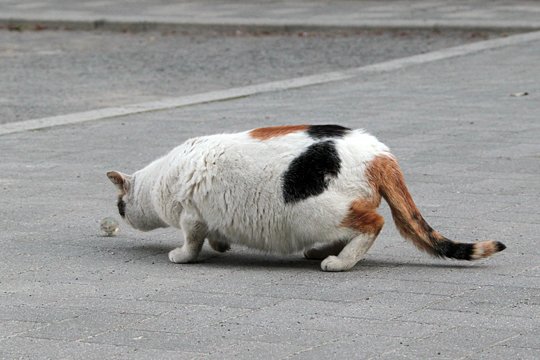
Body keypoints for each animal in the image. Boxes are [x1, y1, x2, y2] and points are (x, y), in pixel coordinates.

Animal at [106, 124, 506, 270]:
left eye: (119, 205)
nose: (120, 213)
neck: (161, 178)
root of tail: (380, 154)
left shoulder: (191, 216)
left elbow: (191, 242)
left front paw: (183, 256)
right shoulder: (208, 218)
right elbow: (215, 235)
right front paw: (221, 245)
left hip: (319, 210)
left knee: (372, 224)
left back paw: (339, 261)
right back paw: (323, 251)